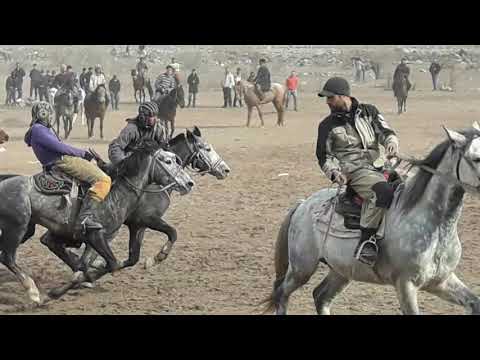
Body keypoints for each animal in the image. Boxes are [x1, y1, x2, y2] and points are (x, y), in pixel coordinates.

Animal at [0, 143, 194, 304]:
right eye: (168, 161)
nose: (189, 183)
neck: (117, 193)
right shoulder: (98, 235)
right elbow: (111, 264)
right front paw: (51, 294)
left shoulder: (105, 238)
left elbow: (99, 266)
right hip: (16, 228)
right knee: (7, 257)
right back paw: (33, 292)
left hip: (27, 230)